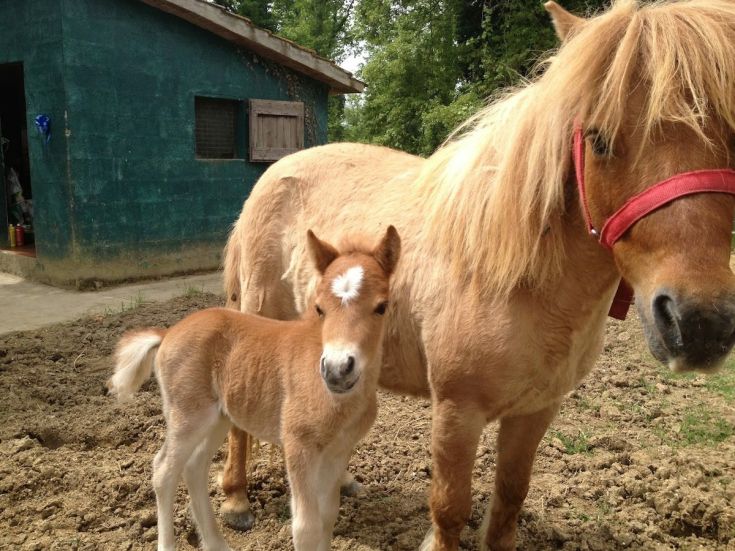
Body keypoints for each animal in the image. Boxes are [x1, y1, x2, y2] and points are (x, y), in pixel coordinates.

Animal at [108, 226, 401, 551]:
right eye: (319, 308)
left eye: (381, 307)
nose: (337, 370)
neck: (339, 402)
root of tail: (169, 332)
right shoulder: (297, 444)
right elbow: (306, 527)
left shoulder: (339, 449)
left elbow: (328, 516)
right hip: (188, 415)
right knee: (163, 472)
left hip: (218, 417)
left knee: (194, 468)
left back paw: (217, 544)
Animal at [220, 1, 735, 549]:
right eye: (598, 138)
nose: (700, 324)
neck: (522, 278)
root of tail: (274, 174)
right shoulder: (457, 412)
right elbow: (450, 507)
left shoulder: (536, 411)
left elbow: (509, 497)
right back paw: (236, 500)